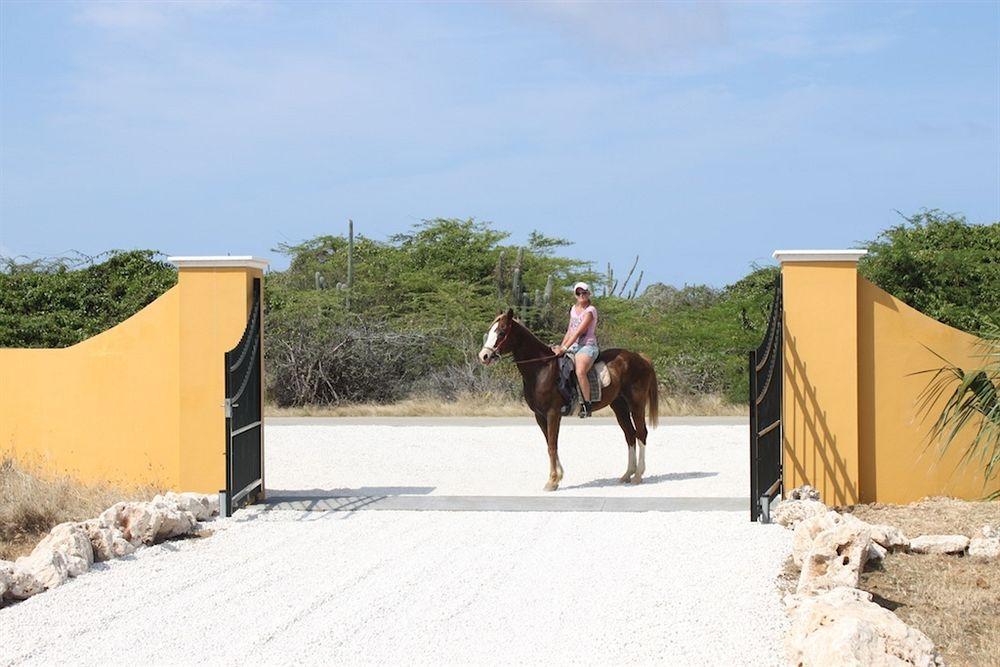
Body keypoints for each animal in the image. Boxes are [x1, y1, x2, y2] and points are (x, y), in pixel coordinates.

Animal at [480, 310, 660, 490]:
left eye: (501, 332)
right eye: (490, 331)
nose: (484, 356)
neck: (542, 369)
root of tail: (641, 358)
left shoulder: (553, 414)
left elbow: (552, 446)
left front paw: (552, 481)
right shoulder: (540, 416)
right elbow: (550, 444)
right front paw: (558, 477)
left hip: (636, 404)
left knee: (641, 433)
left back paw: (638, 475)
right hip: (619, 406)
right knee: (630, 435)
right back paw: (627, 474)